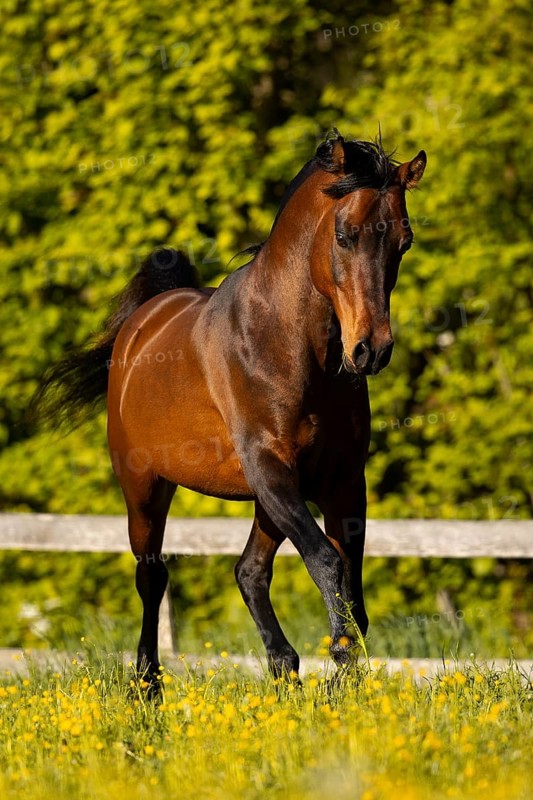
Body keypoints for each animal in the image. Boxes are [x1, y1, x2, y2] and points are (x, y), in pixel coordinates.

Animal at [36, 130, 426, 685]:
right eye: (345, 234)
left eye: (403, 241)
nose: (371, 350)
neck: (287, 346)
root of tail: (141, 325)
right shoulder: (268, 468)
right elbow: (327, 562)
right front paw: (343, 661)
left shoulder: (342, 480)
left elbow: (348, 579)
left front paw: (347, 677)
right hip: (145, 487)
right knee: (152, 575)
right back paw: (148, 684)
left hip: (265, 499)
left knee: (249, 571)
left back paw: (284, 667)